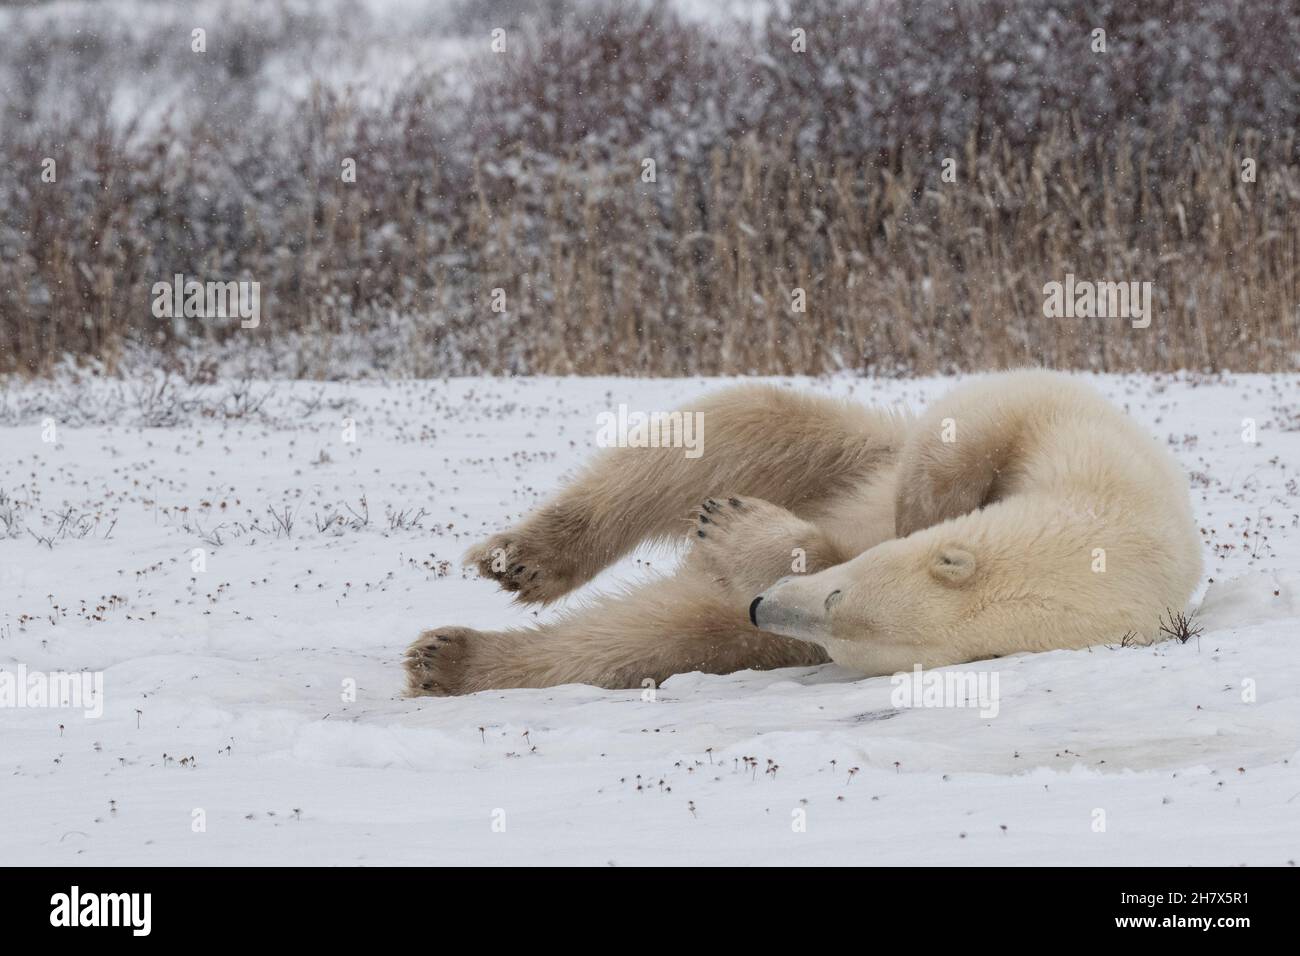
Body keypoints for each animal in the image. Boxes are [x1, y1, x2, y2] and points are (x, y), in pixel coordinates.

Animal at [410, 369, 1201, 697]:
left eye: (842, 631)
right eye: (837, 597)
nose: (764, 604)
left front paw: (744, 535)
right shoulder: (1082, 435)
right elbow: (978, 420)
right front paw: (920, 511)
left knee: (652, 636)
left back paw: (450, 660)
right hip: (851, 450)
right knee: (729, 428)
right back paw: (522, 558)